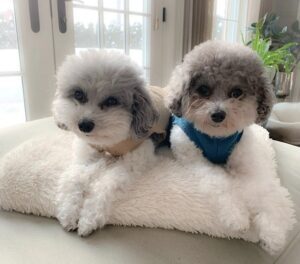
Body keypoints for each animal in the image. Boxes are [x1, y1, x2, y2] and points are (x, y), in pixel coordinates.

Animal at [53, 50, 166, 237]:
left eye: (112, 101)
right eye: (78, 94)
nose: (84, 125)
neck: (110, 141)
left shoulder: (131, 162)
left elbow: (105, 186)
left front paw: (88, 219)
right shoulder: (88, 155)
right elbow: (75, 178)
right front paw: (68, 212)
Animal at [165, 40, 296, 254]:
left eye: (236, 92)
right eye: (203, 89)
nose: (218, 114)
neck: (216, 137)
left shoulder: (246, 161)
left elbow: (263, 188)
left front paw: (274, 232)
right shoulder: (196, 160)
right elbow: (221, 183)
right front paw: (238, 217)